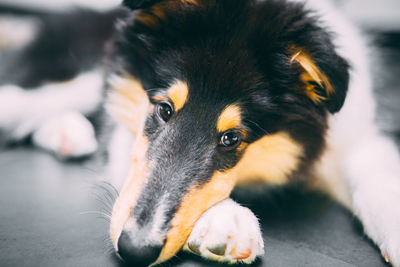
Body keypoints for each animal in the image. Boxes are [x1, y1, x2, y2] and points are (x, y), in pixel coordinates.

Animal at [0, 0, 398, 267]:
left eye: (231, 138)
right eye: (164, 109)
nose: (134, 249)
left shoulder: (354, 138)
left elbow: (377, 177)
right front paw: (227, 219)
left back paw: (70, 134)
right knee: (25, 99)